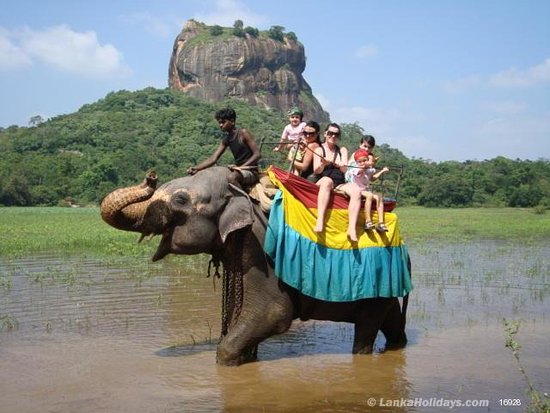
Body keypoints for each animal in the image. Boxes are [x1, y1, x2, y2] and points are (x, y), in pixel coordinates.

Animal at [101, 166, 410, 366]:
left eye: (180, 200)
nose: (150, 176)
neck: (242, 189)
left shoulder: (260, 247)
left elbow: (274, 312)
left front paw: (227, 363)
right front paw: (247, 358)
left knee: (367, 329)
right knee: (392, 320)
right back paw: (396, 347)